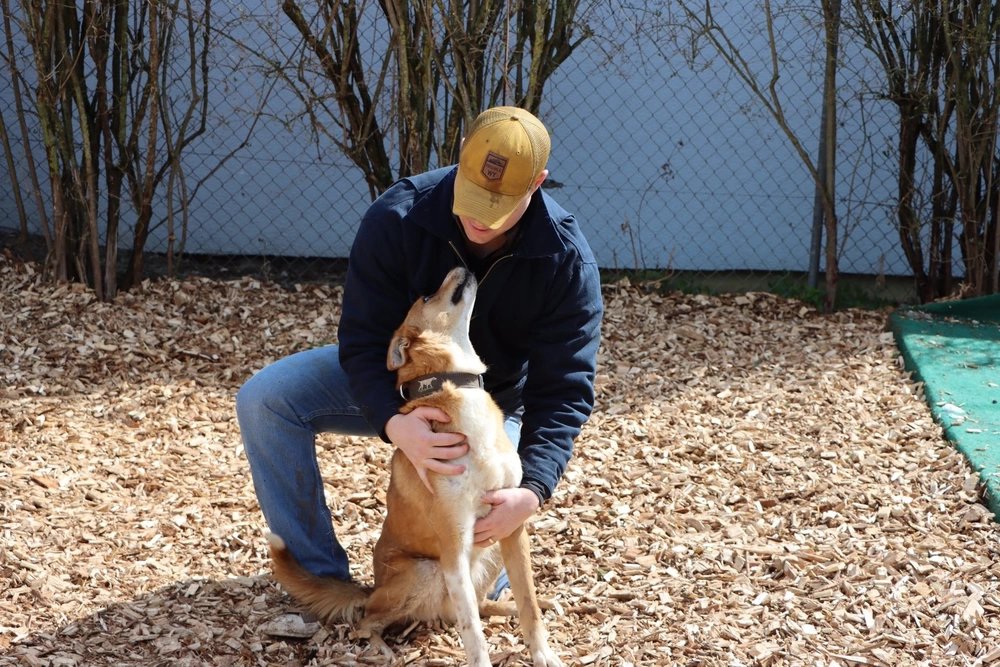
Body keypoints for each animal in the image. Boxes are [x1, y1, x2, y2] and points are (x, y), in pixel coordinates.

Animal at [266, 266, 564, 667]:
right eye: (425, 297)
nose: (461, 267)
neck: (455, 387)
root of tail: (372, 589)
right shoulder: (454, 546)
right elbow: (473, 633)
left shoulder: (512, 524)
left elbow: (527, 601)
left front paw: (543, 652)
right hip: (425, 571)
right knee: (367, 621)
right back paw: (383, 650)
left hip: (489, 554)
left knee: (481, 605)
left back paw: (513, 607)